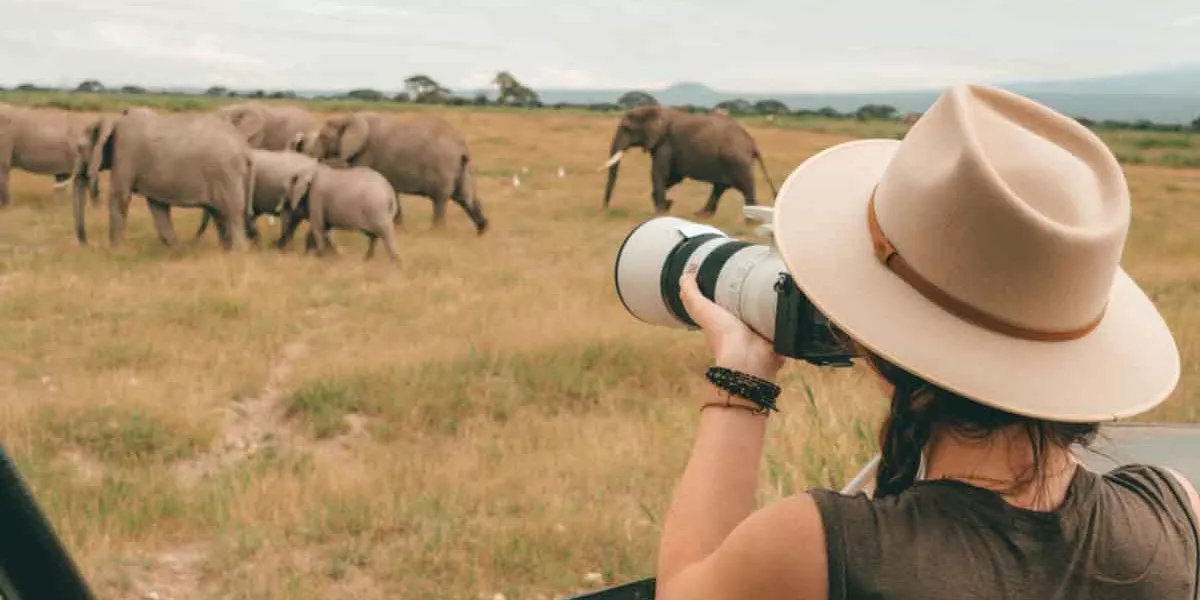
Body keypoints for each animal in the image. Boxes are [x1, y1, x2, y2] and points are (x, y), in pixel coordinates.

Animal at [77, 107, 254, 250]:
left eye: (79, 149)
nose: (87, 244)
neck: (114, 119)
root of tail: (245, 148)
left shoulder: (125, 152)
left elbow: (120, 196)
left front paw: (115, 251)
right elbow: (158, 207)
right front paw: (175, 249)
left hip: (226, 174)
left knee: (231, 212)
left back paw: (238, 253)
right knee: (220, 213)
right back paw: (226, 250)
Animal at [298, 112, 488, 234]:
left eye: (323, 137)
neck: (349, 117)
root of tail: (461, 146)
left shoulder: (367, 153)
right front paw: (400, 231)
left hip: (442, 166)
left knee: (440, 199)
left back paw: (437, 233)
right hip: (462, 167)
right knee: (465, 198)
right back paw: (482, 230)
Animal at [601, 105, 779, 217]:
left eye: (627, 128)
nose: (605, 209)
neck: (657, 110)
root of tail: (752, 143)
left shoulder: (666, 143)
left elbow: (659, 173)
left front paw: (661, 211)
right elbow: (673, 177)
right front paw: (666, 205)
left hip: (736, 160)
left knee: (745, 186)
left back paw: (750, 222)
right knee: (720, 187)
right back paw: (702, 215)